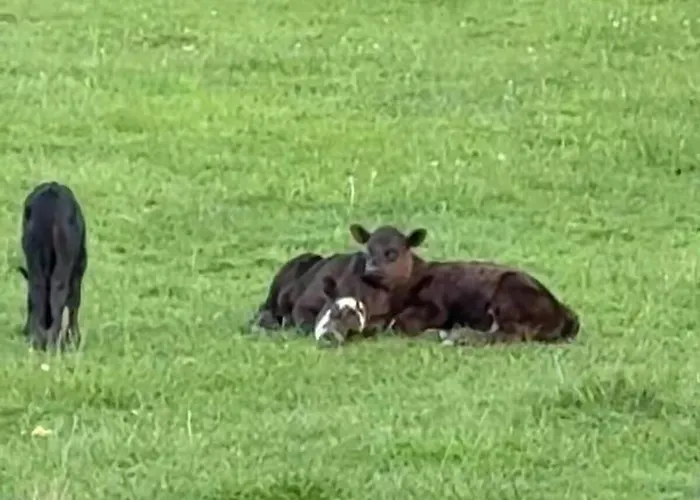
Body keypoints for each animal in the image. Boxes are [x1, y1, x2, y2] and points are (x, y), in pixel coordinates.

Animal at [17, 181, 88, 351]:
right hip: (67, 257)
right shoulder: (80, 266)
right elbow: (74, 299)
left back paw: (37, 339)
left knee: (37, 289)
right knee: (60, 290)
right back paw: (54, 342)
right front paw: (74, 339)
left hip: (33, 250)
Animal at [347, 223, 580, 344]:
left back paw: (457, 335)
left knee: (511, 334)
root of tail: (563, 311)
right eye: (368, 250)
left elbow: (402, 323)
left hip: (509, 294)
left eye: (392, 253)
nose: (371, 271)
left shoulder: (436, 308)